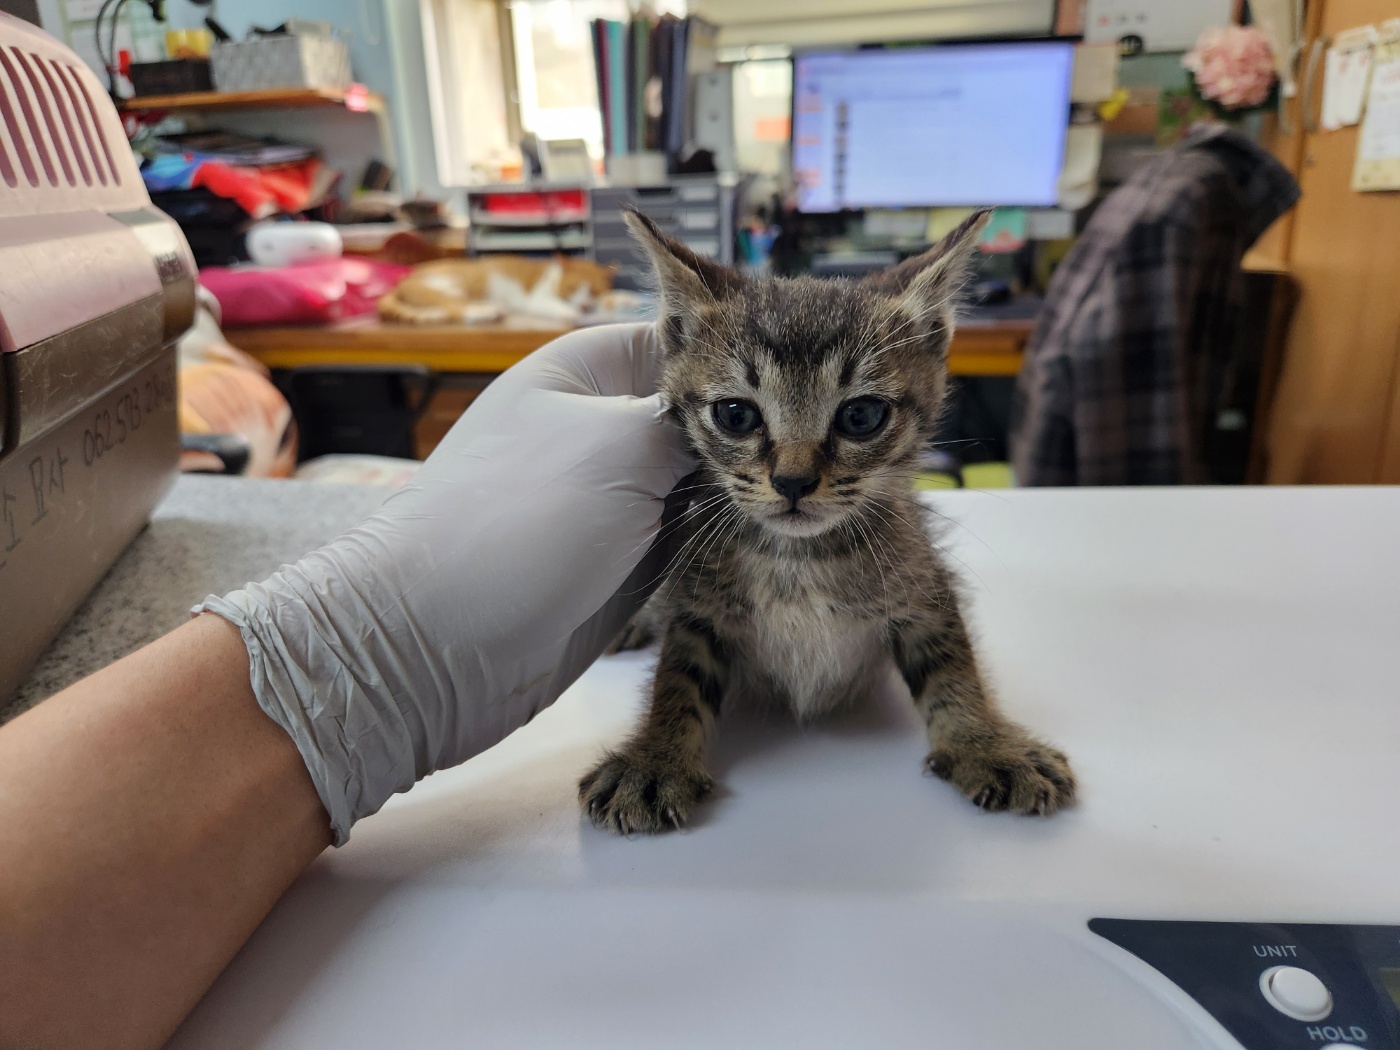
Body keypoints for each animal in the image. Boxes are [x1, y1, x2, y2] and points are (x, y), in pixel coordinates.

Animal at [576, 210, 1069, 840]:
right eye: (736, 415)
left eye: (861, 416)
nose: (792, 481)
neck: (799, 558)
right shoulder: (697, 601)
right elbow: (678, 680)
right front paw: (654, 759)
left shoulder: (922, 582)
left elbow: (953, 666)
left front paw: (988, 745)